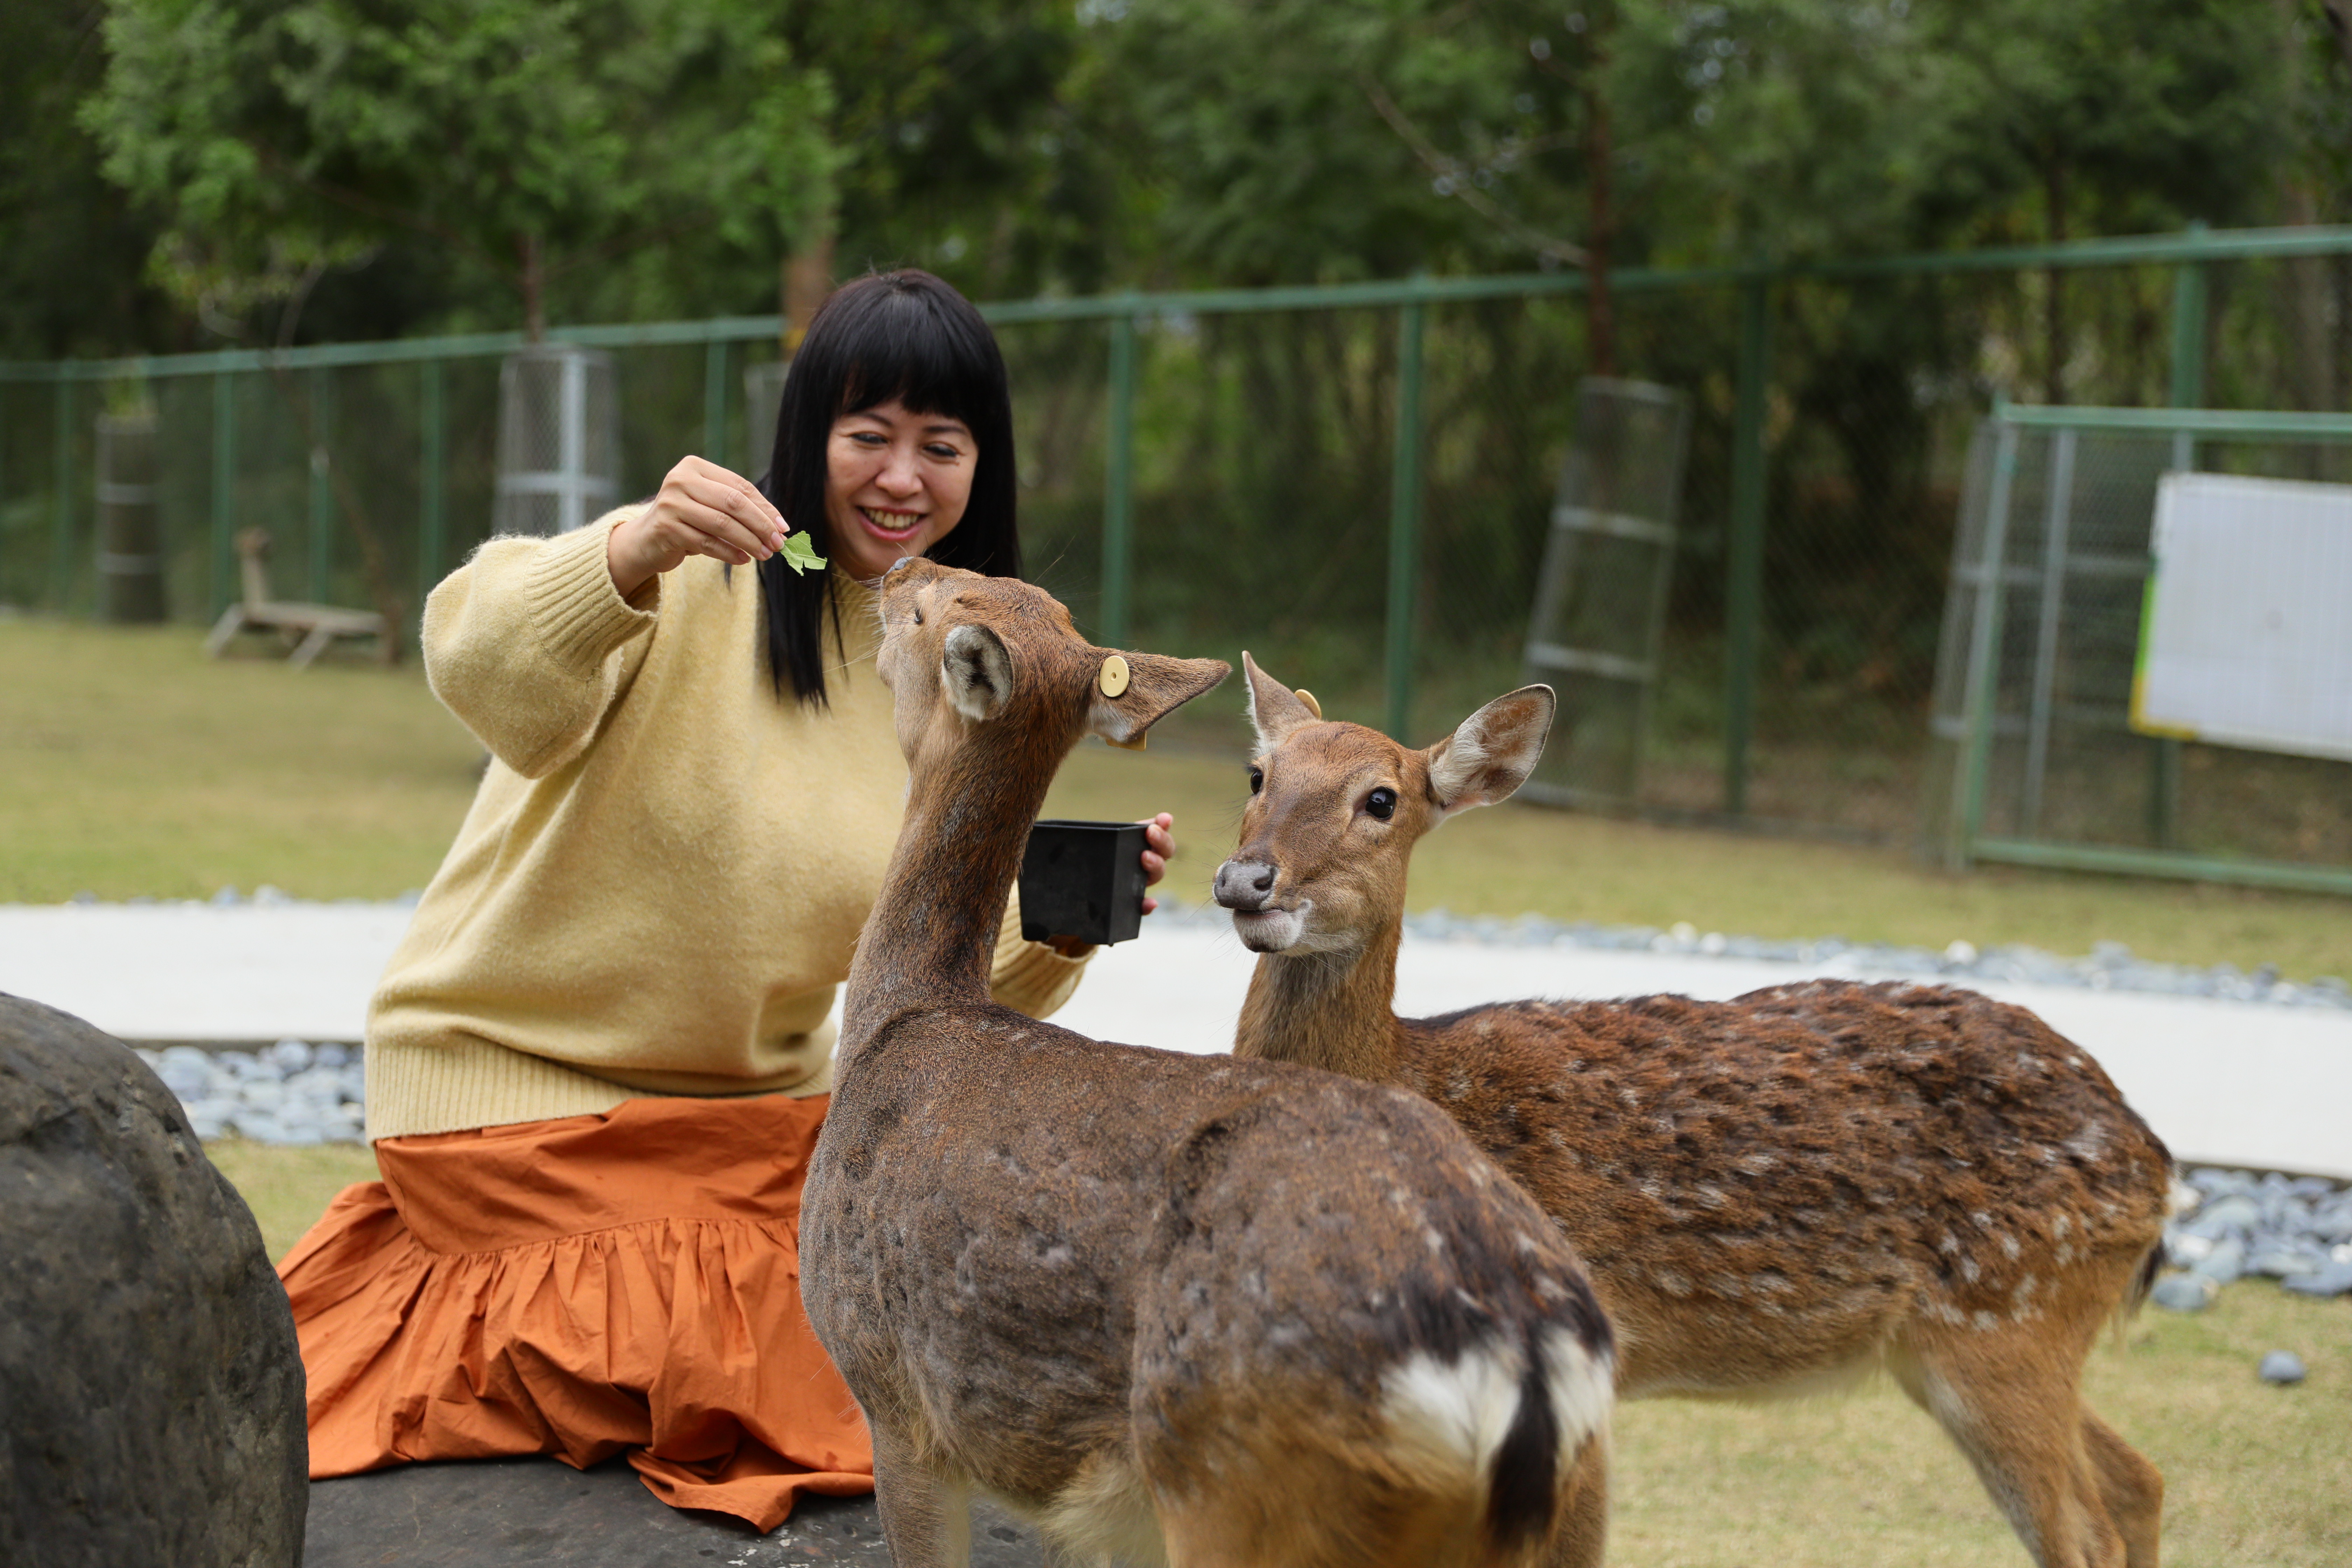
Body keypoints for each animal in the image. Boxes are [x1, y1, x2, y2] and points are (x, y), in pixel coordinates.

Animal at [798, 559, 1619, 1568]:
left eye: (925, 613)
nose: (901, 568)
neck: (899, 1020)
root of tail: (1523, 1361)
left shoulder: (895, 1399)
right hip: (1586, 1501)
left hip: (1234, 1484)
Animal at [1211, 654, 2174, 1568]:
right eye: (1258, 773)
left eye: (1381, 799)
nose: (1246, 879)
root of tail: (2157, 1169)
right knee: (2140, 1477)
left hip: (2011, 1316)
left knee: (2088, 1531)